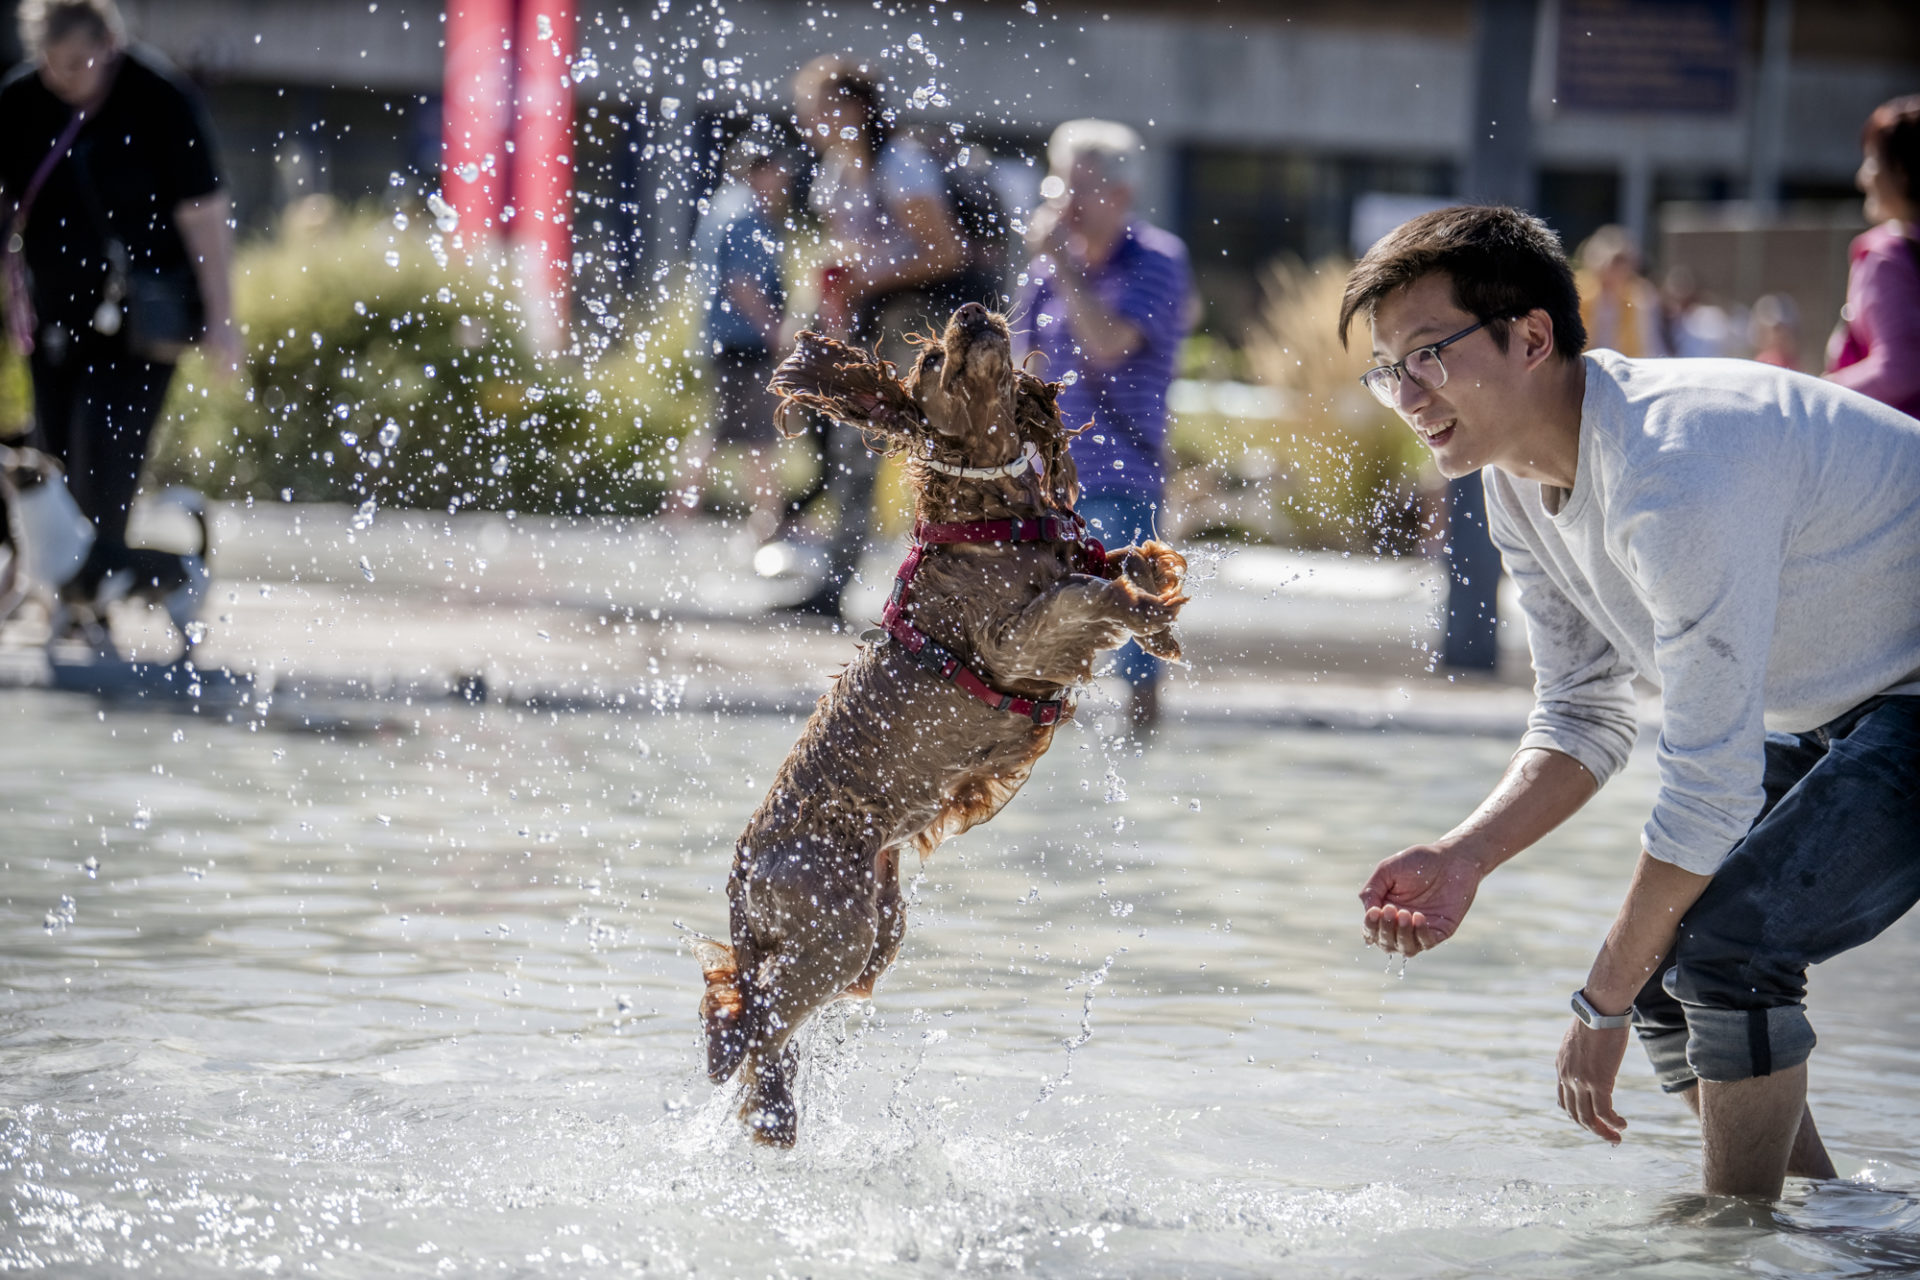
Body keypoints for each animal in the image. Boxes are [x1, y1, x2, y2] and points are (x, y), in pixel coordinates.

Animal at [691, 305, 1182, 1143]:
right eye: (927, 362)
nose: (971, 311)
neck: (997, 522)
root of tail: (741, 868)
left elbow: (1111, 559)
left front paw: (1156, 581)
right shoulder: (1012, 638)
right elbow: (1088, 594)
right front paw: (1145, 608)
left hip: (875, 932)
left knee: (763, 1011)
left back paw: (777, 1110)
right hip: (838, 928)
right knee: (747, 1016)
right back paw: (759, 1091)